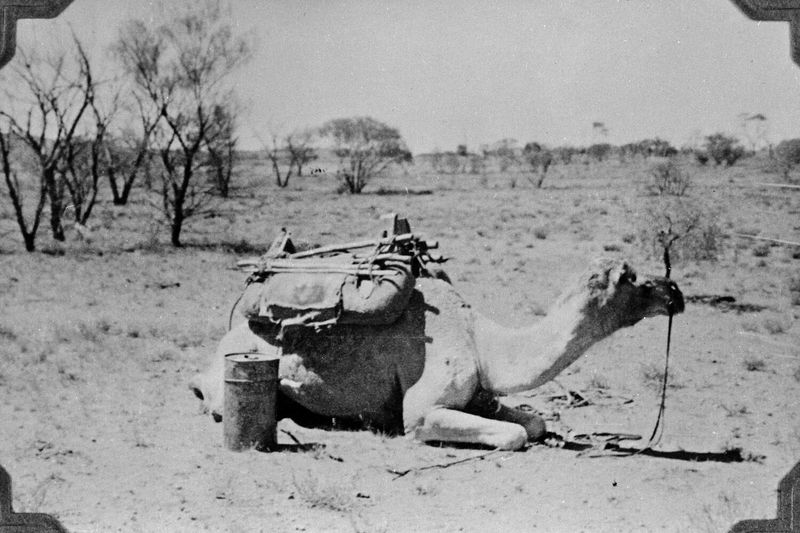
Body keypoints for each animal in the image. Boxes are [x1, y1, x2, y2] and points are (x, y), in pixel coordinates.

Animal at [191, 258, 684, 448]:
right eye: (633, 279)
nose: (675, 292)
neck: (480, 341)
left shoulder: (480, 393)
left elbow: (536, 423)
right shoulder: (423, 409)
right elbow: (514, 435)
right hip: (234, 377)